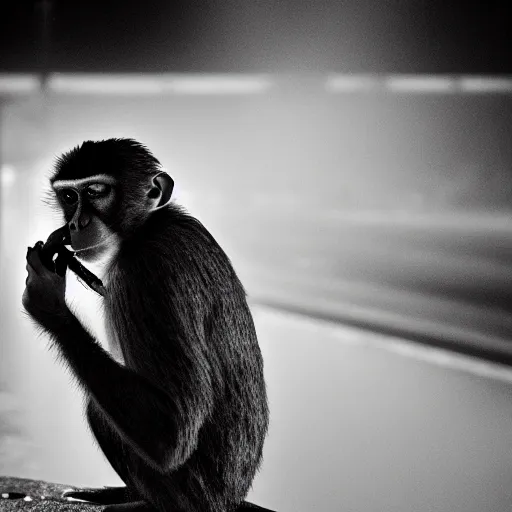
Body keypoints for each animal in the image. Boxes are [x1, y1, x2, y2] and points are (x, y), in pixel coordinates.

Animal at [21, 138, 272, 510]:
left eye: (95, 192)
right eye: (68, 197)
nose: (76, 224)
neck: (146, 228)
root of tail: (228, 500)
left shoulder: (146, 274)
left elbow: (171, 433)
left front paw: (48, 303)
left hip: (192, 495)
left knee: (100, 408)